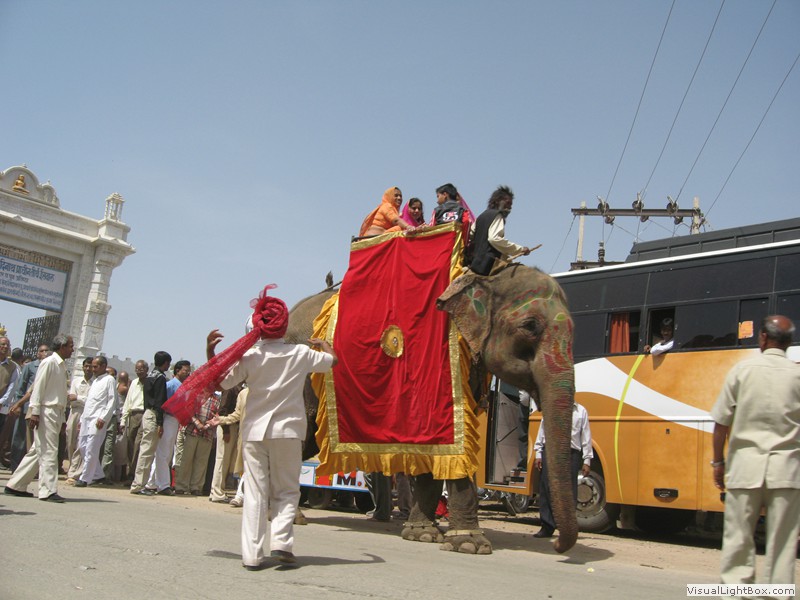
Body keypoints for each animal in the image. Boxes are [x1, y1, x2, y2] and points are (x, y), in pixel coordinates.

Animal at [286, 264, 577, 554]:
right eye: (530, 326)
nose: (557, 546)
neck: (486, 277)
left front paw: (423, 534)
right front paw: (470, 544)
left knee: (306, 442)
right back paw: (294, 518)